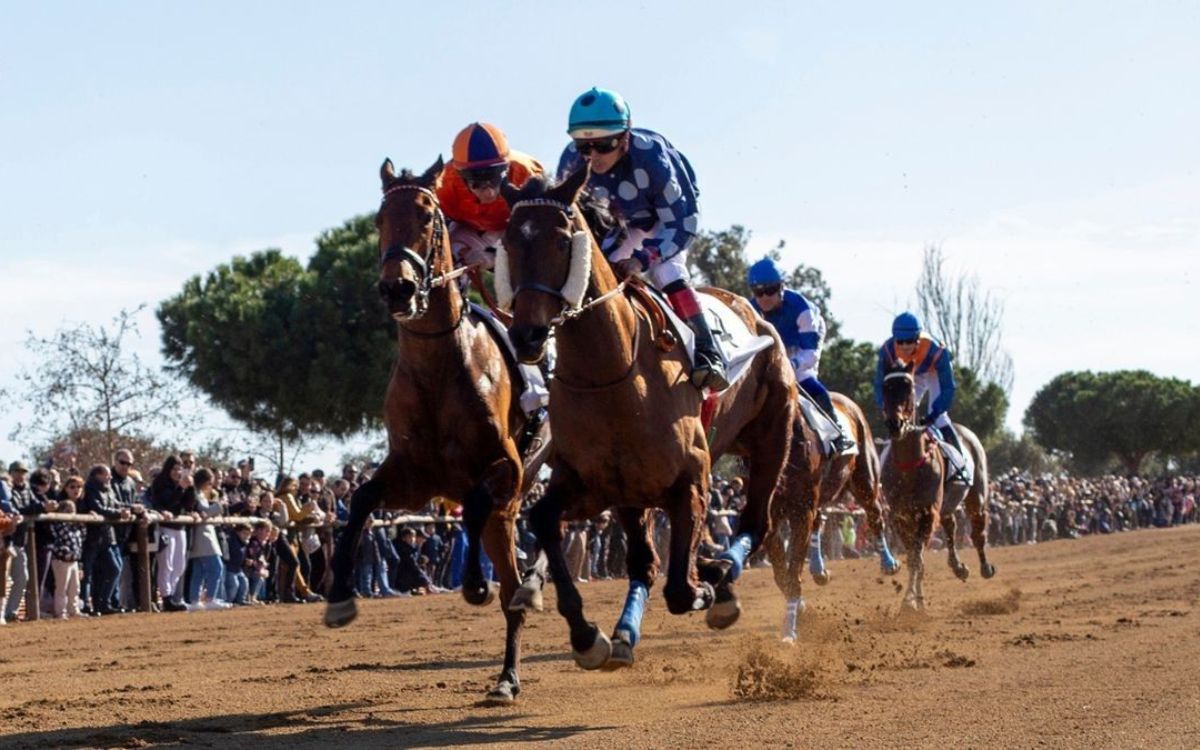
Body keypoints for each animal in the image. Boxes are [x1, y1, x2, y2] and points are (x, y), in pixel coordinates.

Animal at [326, 158, 549, 700]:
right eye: (379, 219)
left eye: (427, 217)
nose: (397, 287)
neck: (438, 367)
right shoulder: (413, 476)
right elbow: (361, 499)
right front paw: (339, 597)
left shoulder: (505, 467)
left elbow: (474, 504)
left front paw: (474, 585)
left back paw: (510, 667)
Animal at [496, 169, 796, 667]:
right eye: (507, 242)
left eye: (562, 241)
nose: (527, 335)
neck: (612, 374)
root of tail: (753, 313)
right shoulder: (593, 485)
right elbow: (543, 520)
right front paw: (587, 635)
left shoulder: (691, 479)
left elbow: (680, 589)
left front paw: (707, 582)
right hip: (636, 493)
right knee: (646, 561)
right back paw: (627, 630)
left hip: (773, 437)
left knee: (756, 524)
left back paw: (720, 577)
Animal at [768, 388, 902, 638]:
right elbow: (782, 574)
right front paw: (800, 609)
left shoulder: (801, 507)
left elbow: (792, 573)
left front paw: (790, 631)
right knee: (819, 521)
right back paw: (819, 570)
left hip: (864, 478)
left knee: (875, 515)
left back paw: (889, 562)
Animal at [883, 357, 993, 609]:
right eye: (885, 388)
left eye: (909, 388)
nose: (895, 424)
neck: (909, 466)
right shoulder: (899, 515)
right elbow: (913, 556)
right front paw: (913, 600)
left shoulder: (927, 512)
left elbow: (918, 558)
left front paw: (913, 602)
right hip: (947, 504)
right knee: (951, 526)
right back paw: (959, 567)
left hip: (976, 493)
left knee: (977, 528)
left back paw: (985, 567)